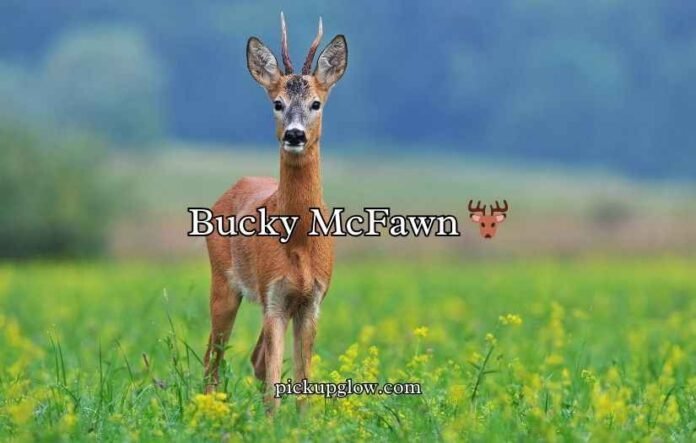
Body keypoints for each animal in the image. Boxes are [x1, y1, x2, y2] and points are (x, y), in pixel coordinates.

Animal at [202, 13, 348, 412]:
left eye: (316, 103)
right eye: (278, 103)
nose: (295, 135)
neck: (298, 243)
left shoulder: (311, 301)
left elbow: (302, 382)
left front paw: (302, 421)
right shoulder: (274, 297)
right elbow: (272, 387)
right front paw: (271, 420)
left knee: (252, 359)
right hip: (223, 284)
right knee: (213, 359)